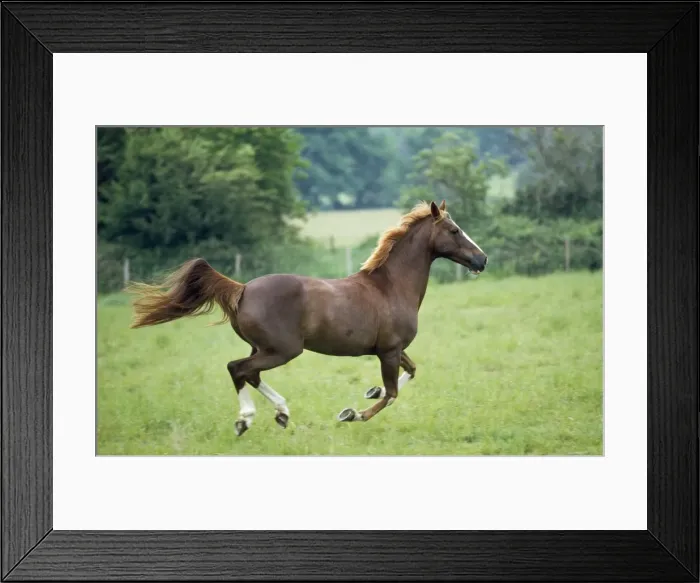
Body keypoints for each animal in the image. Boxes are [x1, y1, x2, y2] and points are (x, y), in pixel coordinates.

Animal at [126, 200, 488, 436]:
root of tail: (242, 289)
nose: (481, 259)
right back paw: (246, 419)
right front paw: (351, 414)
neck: (391, 287)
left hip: (263, 349)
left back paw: (281, 415)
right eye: (454, 230)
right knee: (237, 369)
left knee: (248, 373)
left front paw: (368, 393)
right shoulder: (388, 351)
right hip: (282, 350)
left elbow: (410, 372)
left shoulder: (393, 350)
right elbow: (392, 393)